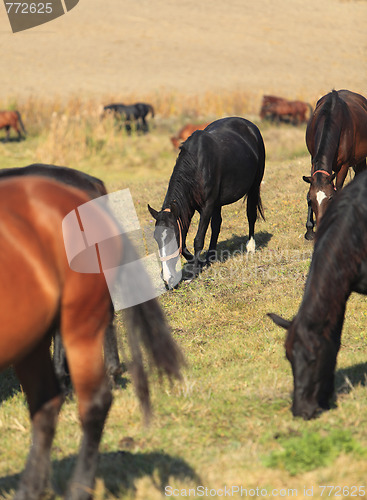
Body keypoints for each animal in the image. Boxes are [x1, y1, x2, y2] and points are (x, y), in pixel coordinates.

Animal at [148, 116, 266, 288]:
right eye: (156, 238)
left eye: (172, 238)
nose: (167, 279)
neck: (197, 165)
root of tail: (249, 125)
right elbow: (186, 243)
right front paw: (200, 262)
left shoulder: (207, 207)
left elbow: (198, 239)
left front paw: (193, 273)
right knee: (217, 225)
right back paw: (210, 257)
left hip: (254, 186)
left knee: (251, 214)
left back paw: (250, 246)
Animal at [302, 90, 367, 240]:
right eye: (312, 199)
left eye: (330, 198)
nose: (320, 226)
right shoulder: (313, 160)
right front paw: (309, 230)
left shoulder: (343, 166)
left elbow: (338, 189)